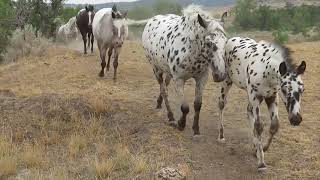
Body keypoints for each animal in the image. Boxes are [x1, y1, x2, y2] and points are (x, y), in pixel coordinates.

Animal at [142, 4, 228, 135]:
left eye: (226, 41)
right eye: (209, 43)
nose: (220, 75)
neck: (191, 49)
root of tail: (151, 21)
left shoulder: (202, 78)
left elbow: (197, 104)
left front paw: (196, 128)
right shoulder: (179, 79)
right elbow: (185, 107)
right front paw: (181, 124)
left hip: (168, 73)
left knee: (165, 87)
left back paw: (159, 103)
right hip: (156, 69)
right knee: (164, 90)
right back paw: (171, 117)